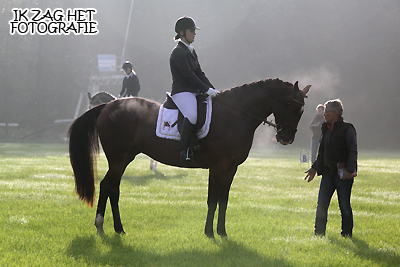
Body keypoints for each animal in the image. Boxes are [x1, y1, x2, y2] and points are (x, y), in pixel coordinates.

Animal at [69, 79, 310, 239]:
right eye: (291, 106)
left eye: (302, 110)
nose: (286, 138)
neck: (235, 115)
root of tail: (108, 106)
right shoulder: (218, 166)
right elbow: (212, 199)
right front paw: (209, 233)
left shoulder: (231, 168)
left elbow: (223, 200)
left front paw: (222, 232)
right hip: (118, 159)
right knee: (108, 186)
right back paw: (102, 226)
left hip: (125, 158)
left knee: (113, 188)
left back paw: (117, 229)